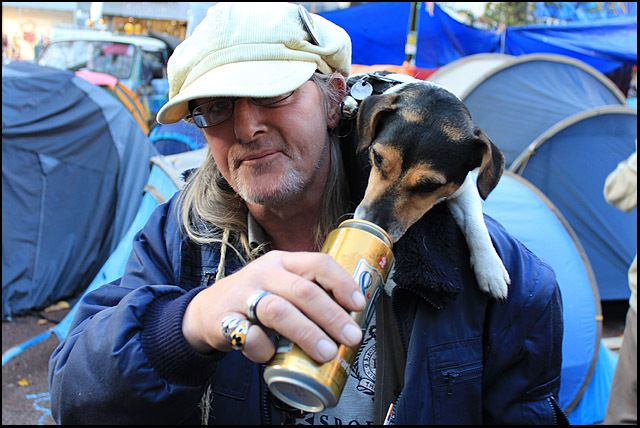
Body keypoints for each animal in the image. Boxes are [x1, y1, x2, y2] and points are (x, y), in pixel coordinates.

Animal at [350, 75, 510, 300]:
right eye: (378, 158)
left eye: (430, 185)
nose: (370, 223)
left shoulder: (464, 188)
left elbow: (475, 223)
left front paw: (491, 269)